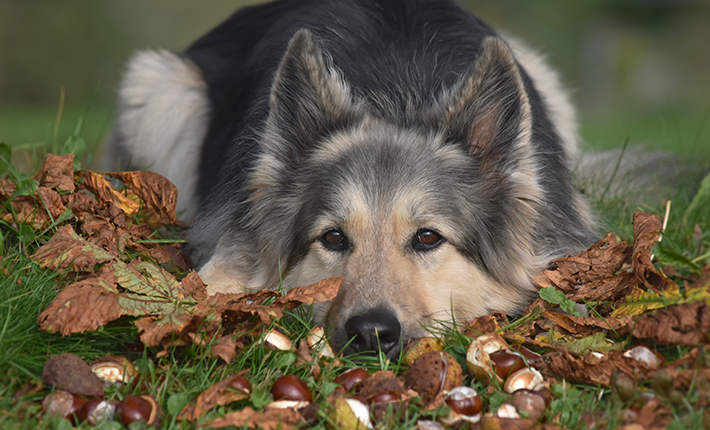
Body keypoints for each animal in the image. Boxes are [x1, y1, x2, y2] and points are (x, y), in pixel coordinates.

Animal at [103, 0, 596, 358]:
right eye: (333, 238)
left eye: (428, 238)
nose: (371, 332)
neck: (397, 96)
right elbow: (209, 285)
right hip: (159, 88)